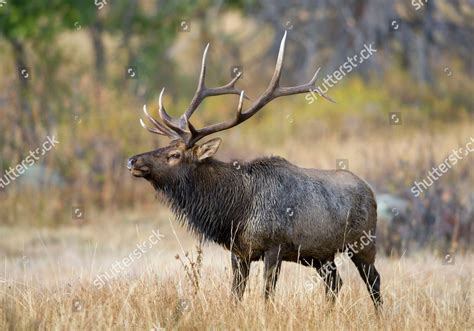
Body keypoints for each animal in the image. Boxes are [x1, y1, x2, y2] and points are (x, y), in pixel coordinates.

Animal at [129, 31, 382, 308]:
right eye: (164, 146)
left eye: (174, 155)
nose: (132, 161)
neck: (237, 210)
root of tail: (370, 192)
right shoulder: (239, 252)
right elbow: (235, 295)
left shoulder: (275, 246)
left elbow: (267, 295)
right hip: (320, 255)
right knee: (335, 281)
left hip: (363, 242)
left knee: (373, 281)